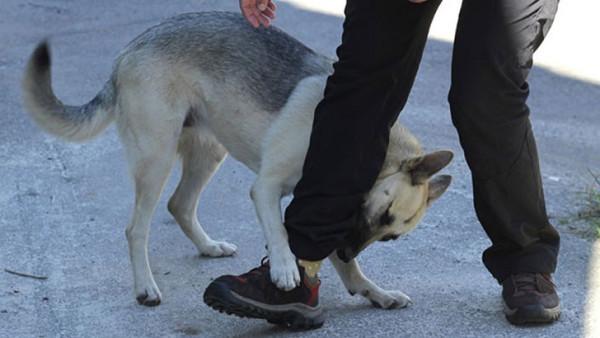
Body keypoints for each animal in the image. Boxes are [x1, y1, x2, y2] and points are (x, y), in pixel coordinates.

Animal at [23, 11, 452, 308]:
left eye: (391, 235)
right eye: (381, 213)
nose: (348, 249)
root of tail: (131, 48)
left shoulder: (327, 210)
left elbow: (345, 266)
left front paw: (375, 292)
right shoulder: (267, 188)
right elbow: (280, 232)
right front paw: (283, 269)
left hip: (209, 152)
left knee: (179, 205)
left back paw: (208, 247)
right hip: (157, 160)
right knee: (136, 230)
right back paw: (145, 286)